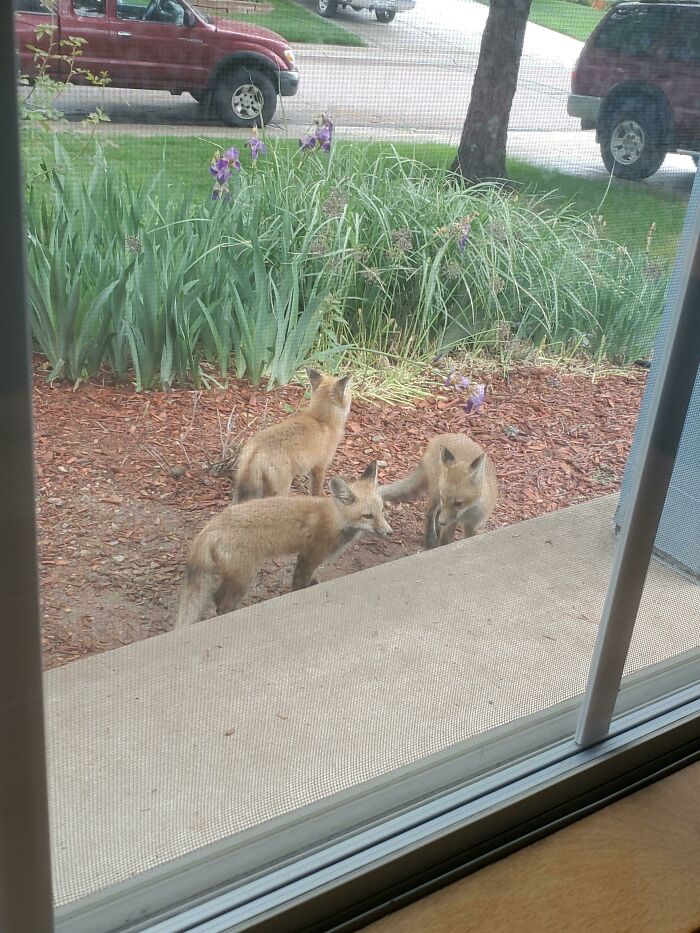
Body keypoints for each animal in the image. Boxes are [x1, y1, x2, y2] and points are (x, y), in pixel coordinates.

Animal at [176, 461, 392, 627]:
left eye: (381, 511)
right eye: (368, 516)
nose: (389, 532)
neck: (335, 520)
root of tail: (210, 526)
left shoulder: (305, 556)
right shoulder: (310, 555)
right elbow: (299, 582)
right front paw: (300, 591)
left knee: (215, 596)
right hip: (243, 577)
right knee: (222, 603)